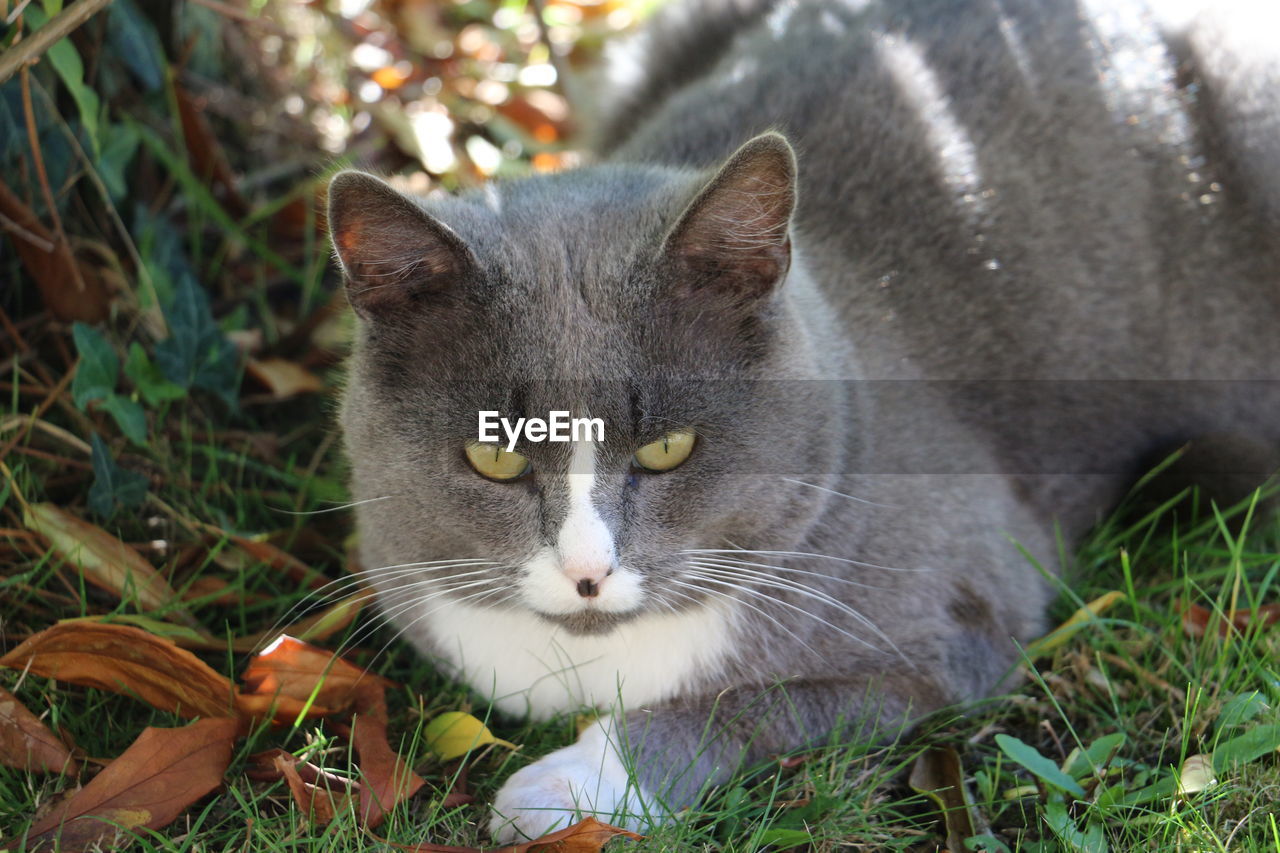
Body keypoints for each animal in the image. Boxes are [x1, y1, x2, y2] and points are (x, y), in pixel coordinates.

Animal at [327, 0, 1280, 835]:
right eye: (495, 456)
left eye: (668, 447)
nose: (588, 572)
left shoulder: (955, 625)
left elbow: (749, 706)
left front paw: (568, 787)